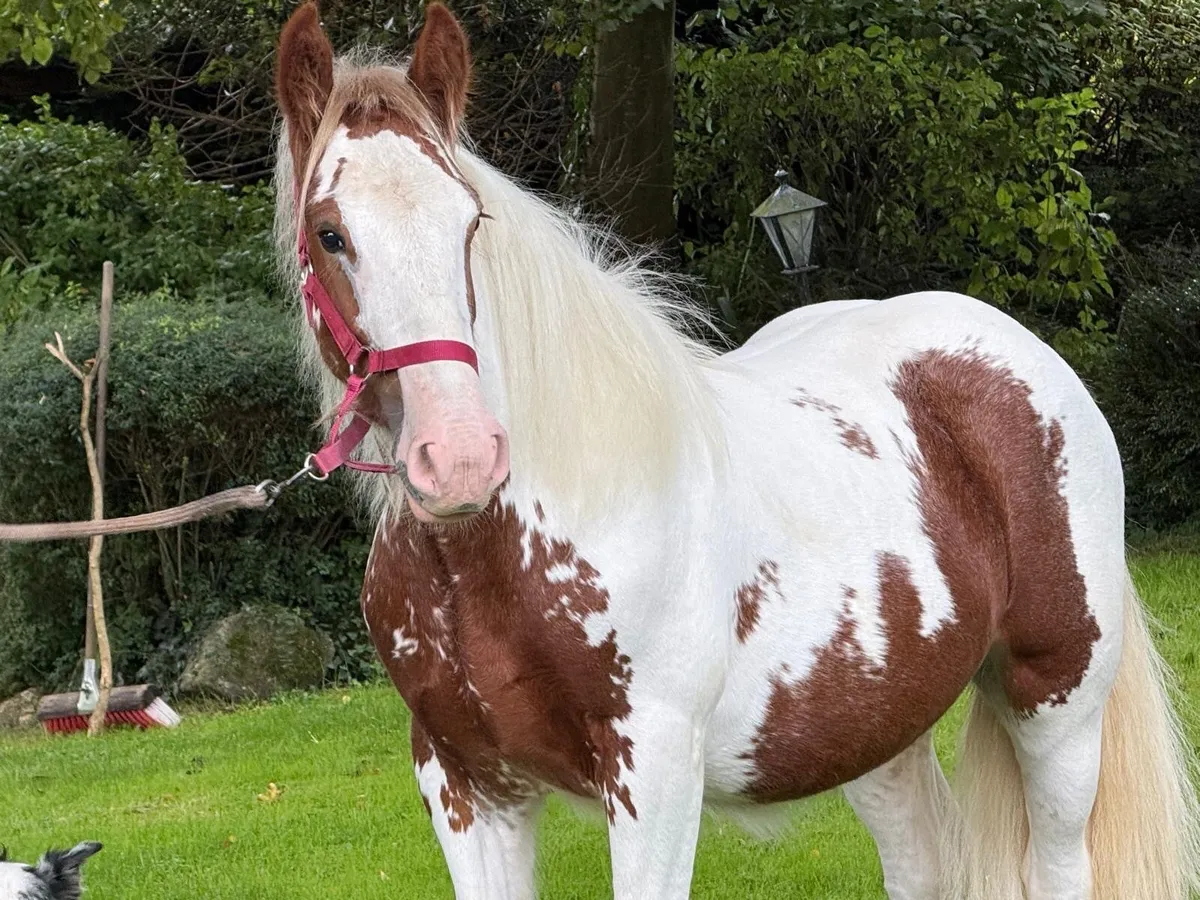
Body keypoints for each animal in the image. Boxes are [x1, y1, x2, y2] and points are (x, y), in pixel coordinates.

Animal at [273, 4, 1200, 898]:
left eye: (469, 222)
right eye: (328, 233)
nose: (461, 456)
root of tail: (1026, 356)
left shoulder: (654, 773)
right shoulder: (465, 783)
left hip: (1056, 702)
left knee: (1058, 866)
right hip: (880, 727)